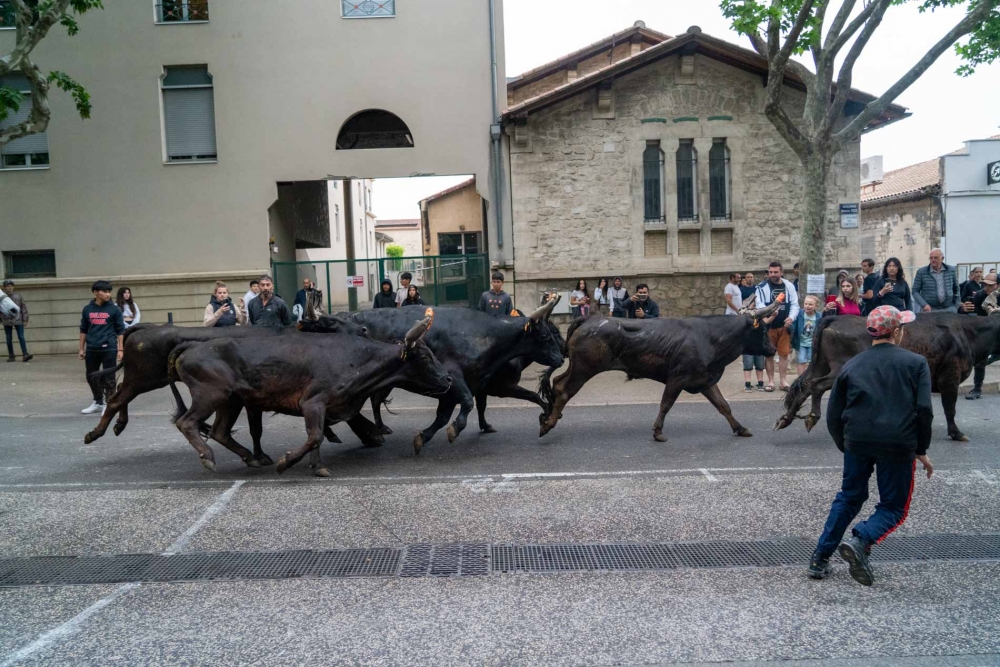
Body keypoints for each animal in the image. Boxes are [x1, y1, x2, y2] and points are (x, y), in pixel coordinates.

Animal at [540, 302, 780, 444]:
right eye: (763, 329)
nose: (773, 350)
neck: (709, 337)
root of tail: (589, 319)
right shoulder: (677, 378)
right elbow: (666, 404)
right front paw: (657, 431)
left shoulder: (705, 380)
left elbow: (723, 406)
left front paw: (740, 428)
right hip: (583, 370)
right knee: (564, 390)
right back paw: (548, 424)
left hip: (577, 368)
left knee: (557, 382)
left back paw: (549, 416)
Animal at [776, 314, 1000, 444]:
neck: (967, 332)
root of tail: (835, 318)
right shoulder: (950, 377)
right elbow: (950, 408)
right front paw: (956, 433)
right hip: (839, 369)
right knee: (816, 385)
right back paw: (811, 416)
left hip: (821, 364)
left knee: (805, 385)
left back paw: (786, 419)